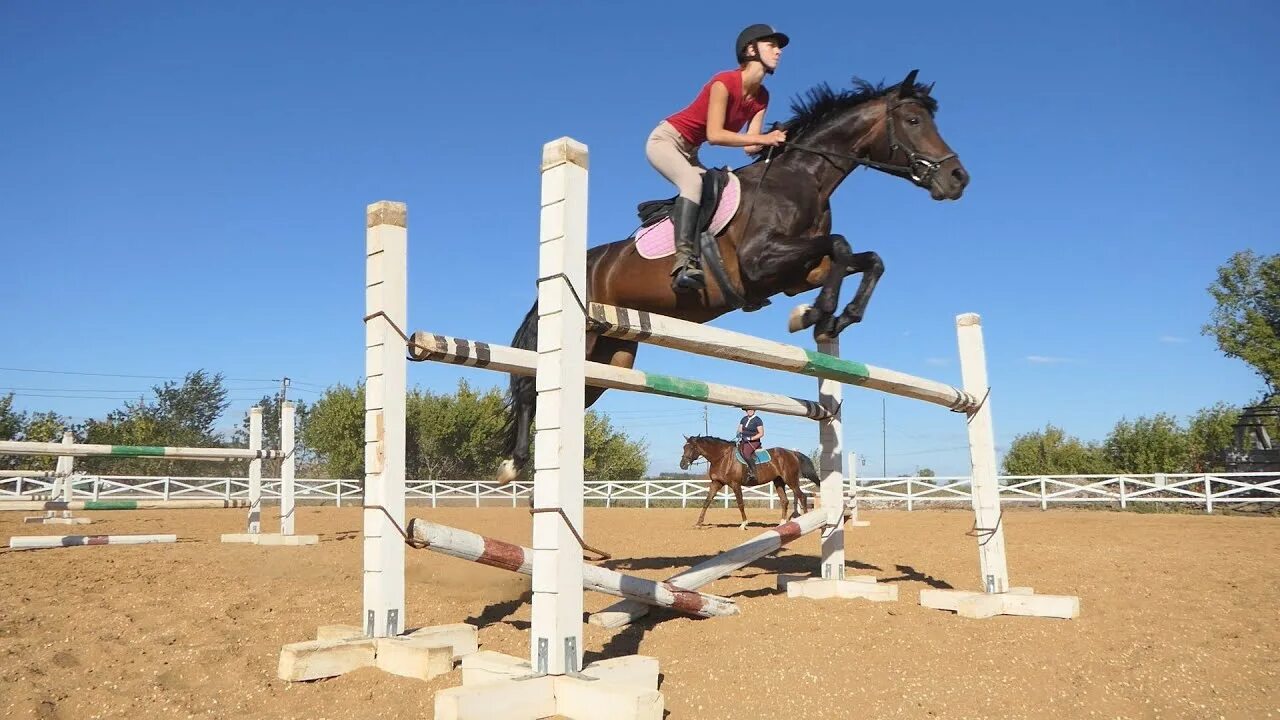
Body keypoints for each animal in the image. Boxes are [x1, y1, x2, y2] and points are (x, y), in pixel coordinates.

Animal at [499, 70, 967, 479]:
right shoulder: (760, 262)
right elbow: (840, 244)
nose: (958, 178)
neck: (801, 179)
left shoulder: (797, 274)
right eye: (913, 120)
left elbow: (865, 258)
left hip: (610, 356)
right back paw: (514, 464)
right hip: (579, 337)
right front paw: (819, 315)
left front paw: (833, 318)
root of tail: (583, 262)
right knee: (530, 389)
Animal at [680, 430, 819, 527]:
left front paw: (744, 523)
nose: (682, 465)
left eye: (692, 447)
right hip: (779, 481)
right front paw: (698, 523)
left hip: (791, 480)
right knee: (784, 501)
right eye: (684, 447)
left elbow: (740, 503)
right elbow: (707, 501)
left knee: (802, 496)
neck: (722, 458)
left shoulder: (735, 484)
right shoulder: (716, 483)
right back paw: (781, 523)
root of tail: (791, 453)